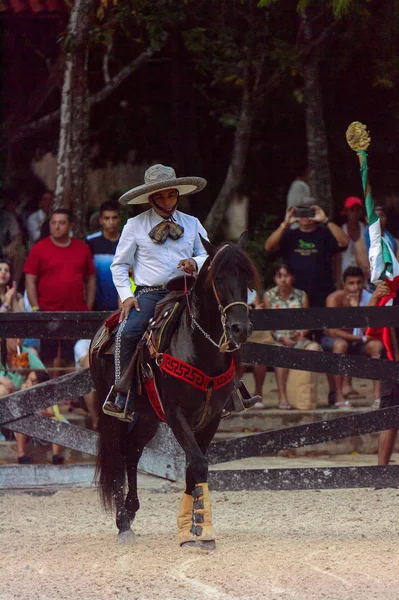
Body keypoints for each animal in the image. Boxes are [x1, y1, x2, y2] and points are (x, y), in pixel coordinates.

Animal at [90, 233, 260, 548]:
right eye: (219, 277)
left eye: (247, 278)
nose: (240, 328)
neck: (198, 348)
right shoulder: (175, 414)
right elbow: (199, 463)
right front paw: (202, 531)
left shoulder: (211, 418)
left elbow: (193, 469)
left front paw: (190, 527)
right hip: (114, 415)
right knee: (118, 455)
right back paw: (123, 524)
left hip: (148, 417)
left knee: (131, 451)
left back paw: (131, 510)